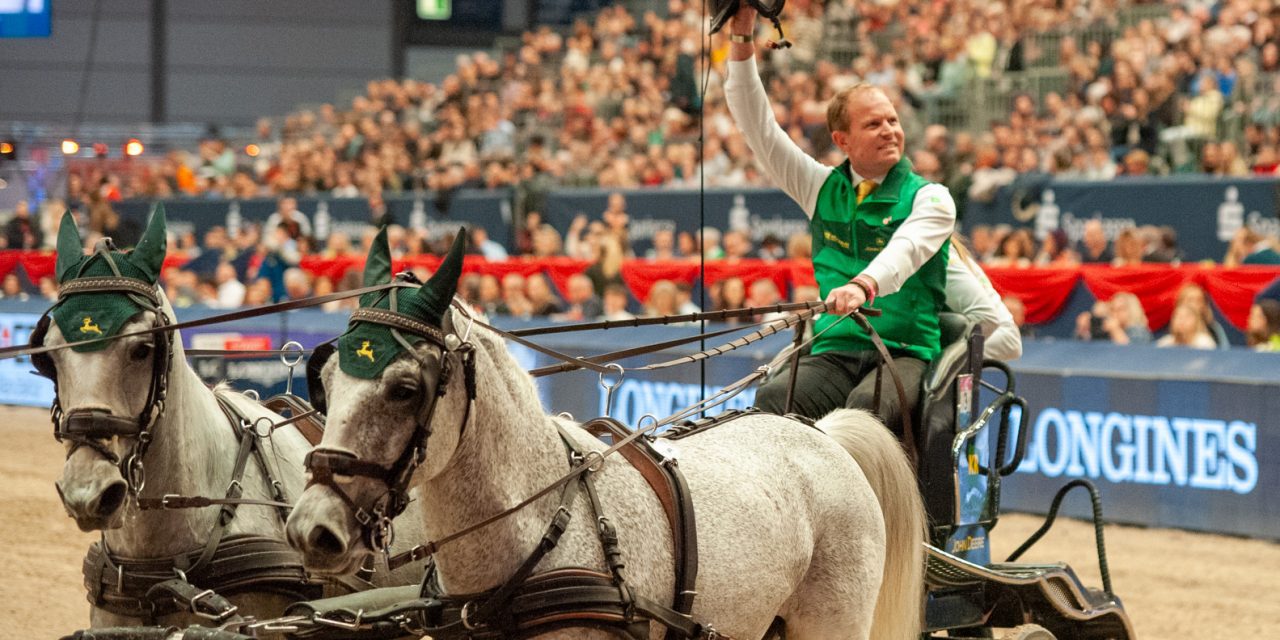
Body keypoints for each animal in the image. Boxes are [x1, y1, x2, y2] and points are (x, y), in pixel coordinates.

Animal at [288, 235, 931, 640]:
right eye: (324, 380)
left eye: (404, 388)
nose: (311, 529)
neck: (537, 526)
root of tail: (819, 435)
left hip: (833, 621)